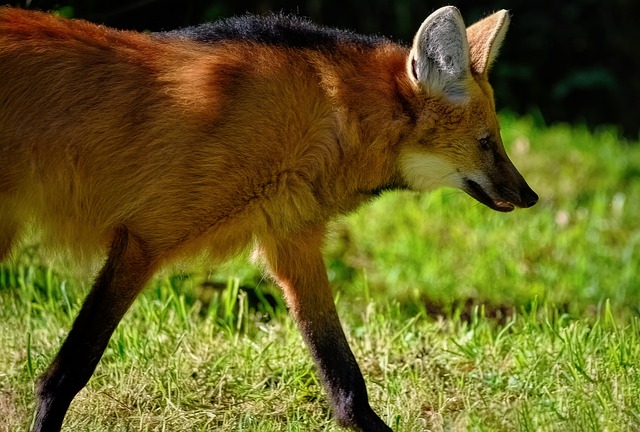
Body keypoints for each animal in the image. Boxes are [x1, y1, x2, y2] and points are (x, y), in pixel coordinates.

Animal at [0, 5, 536, 430]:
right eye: (487, 143)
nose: (530, 196)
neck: (327, 120)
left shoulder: (292, 243)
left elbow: (347, 390)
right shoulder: (145, 239)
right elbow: (66, 374)